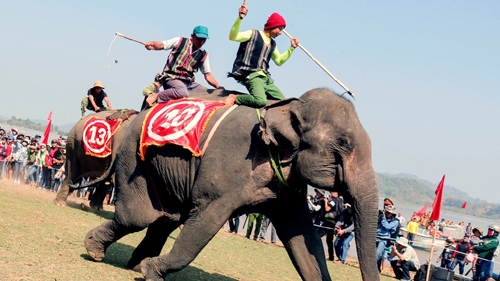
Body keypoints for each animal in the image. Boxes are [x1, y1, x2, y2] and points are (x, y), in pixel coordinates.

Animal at [81, 88, 378, 280]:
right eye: (344, 143)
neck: (286, 106)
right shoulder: (229, 168)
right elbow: (205, 223)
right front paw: (153, 272)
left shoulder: (288, 188)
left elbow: (305, 240)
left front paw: (149, 269)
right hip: (135, 157)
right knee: (138, 217)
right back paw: (96, 251)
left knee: (167, 218)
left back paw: (136, 264)